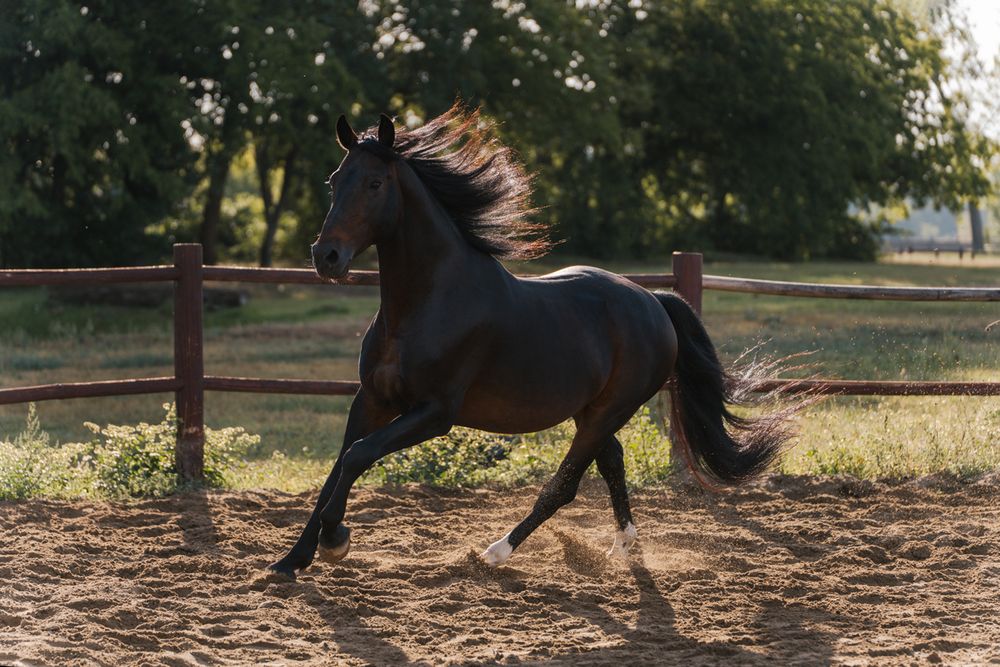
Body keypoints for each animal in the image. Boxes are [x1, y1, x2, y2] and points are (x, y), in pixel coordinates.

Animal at [268, 104, 794, 579]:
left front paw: (336, 540)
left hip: (610, 410)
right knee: (612, 462)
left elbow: (357, 456)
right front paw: (292, 560)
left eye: (375, 183)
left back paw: (496, 552)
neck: (425, 306)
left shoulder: (435, 412)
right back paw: (624, 547)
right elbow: (338, 467)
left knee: (565, 485)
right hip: (591, 411)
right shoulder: (372, 399)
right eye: (335, 180)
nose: (326, 256)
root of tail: (654, 301)